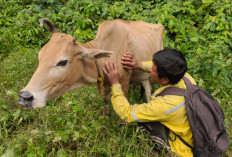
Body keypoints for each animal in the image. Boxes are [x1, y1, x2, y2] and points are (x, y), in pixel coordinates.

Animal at [18, 18, 164, 114]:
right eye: (40, 56)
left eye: (62, 62)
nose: (25, 97)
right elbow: (106, 99)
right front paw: (106, 114)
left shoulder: (124, 79)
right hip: (142, 74)